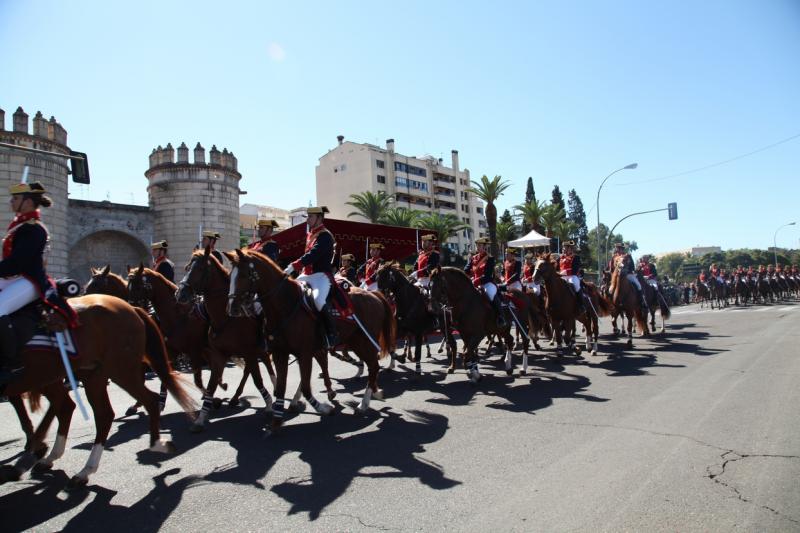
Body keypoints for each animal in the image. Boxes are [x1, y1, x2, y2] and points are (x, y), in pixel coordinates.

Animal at [1, 294, 195, 488]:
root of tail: (132, 309)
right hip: (85, 375)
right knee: (93, 412)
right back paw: (70, 465)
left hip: (118, 370)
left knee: (144, 402)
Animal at [225, 247, 394, 434]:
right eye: (231, 275)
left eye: (244, 274)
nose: (232, 308)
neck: (285, 304)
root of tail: (375, 295)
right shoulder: (280, 353)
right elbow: (281, 386)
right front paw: (276, 421)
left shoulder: (304, 352)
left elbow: (306, 386)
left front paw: (324, 408)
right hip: (356, 342)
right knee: (372, 366)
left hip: (365, 342)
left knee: (374, 367)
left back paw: (364, 404)